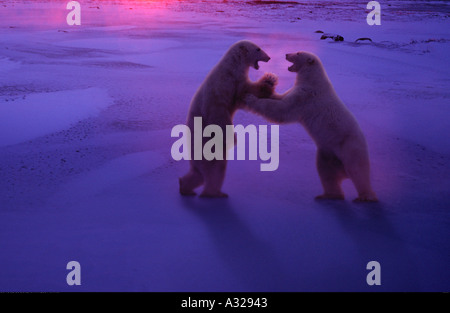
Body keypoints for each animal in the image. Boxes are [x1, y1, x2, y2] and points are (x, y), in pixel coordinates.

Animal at [178, 40, 276, 196]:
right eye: (258, 49)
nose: (269, 57)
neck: (230, 68)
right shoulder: (220, 88)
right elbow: (218, 114)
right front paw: (233, 139)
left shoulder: (238, 84)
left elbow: (245, 93)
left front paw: (269, 80)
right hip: (204, 148)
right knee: (212, 170)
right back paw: (212, 193)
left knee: (208, 171)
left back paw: (187, 187)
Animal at [244, 50, 378, 202]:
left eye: (298, 53)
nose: (286, 54)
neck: (313, 80)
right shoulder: (299, 91)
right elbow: (280, 98)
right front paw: (267, 84)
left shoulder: (306, 96)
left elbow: (282, 110)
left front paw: (250, 98)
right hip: (328, 154)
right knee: (326, 172)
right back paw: (328, 195)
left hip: (350, 147)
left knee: (358, 172)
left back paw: (366, 197)